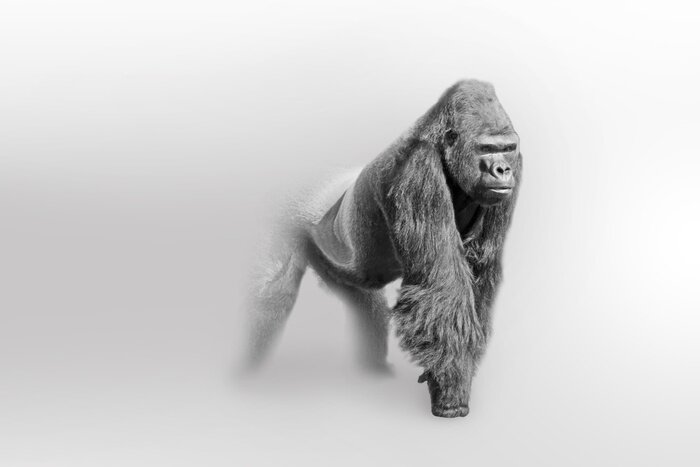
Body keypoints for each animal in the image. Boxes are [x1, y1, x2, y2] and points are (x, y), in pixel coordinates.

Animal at [246, 79, 522, 418]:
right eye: (487, 148)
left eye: (507, 149)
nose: (502, 170)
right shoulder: (418, 170)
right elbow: (442, 288)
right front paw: (451, 394)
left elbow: (480, 276)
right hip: (285, 216)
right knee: (271, 295)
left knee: (367, 307)